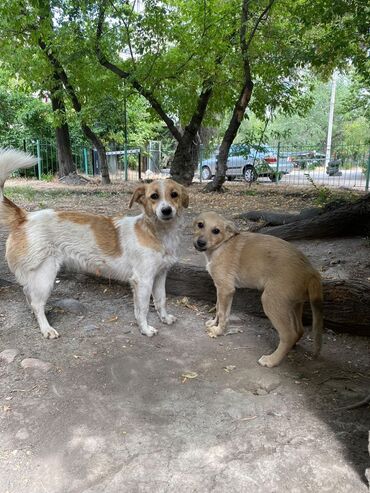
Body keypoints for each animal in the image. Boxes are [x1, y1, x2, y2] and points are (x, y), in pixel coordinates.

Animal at [0, 148, 188, 336]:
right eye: (154, 196)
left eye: (174, 195)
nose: (166, 210)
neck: (156, 232)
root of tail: (25, 217)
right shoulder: (143, 280)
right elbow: (142, 309)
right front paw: (145, 329)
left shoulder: (159, 275)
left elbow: (161, 300)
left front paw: (165, 318)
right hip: (45, 275)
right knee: (37, 303)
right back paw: (46, 328)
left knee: (28, 294)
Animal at [194, 209, 324, 368]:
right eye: (200, 225)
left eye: (216, 231)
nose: (200, 243)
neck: (222, 245)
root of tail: (312, 272)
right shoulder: (221, 288)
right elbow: (218, 308)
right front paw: (213, 323)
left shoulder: (225, 289)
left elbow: (222, 313)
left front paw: (218, 331)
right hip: (293, 304)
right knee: (298, 330)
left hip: (271, 301)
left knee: (289, 334)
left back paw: (272, 360)